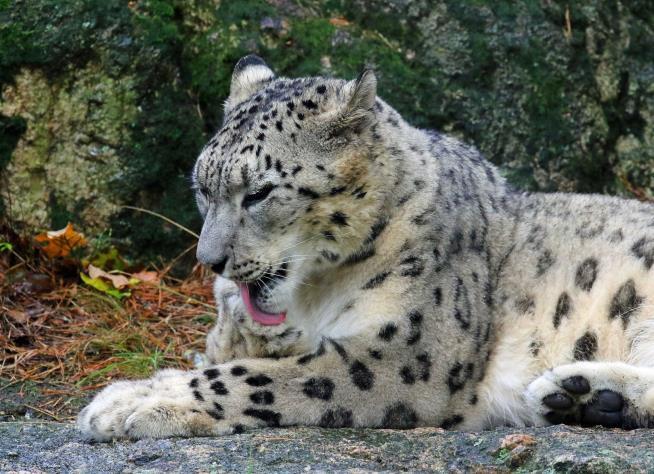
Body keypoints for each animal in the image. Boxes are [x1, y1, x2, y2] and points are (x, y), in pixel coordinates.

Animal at [78, 55, 654, 440]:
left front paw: (131, 399)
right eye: (202, 187)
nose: (210, 260)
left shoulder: (404, 354)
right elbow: (234, 355)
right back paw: (583, 396)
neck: (313, 297)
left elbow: (254, 378)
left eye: (258, 192)